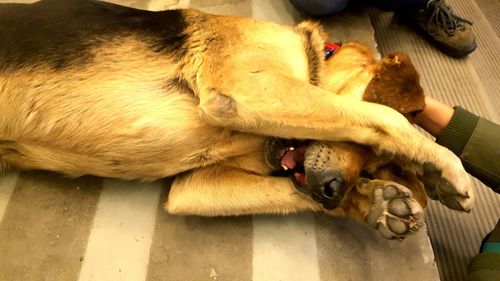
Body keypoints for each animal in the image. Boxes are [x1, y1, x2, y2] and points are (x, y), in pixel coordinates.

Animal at [0, 0, 472, 238]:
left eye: (374, 167)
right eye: (368, 151)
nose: (334, 192)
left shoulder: (195, 188)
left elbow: (288, 192)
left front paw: (373, 203)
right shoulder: (245, 87)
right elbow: (384, 116)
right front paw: (446, 166)